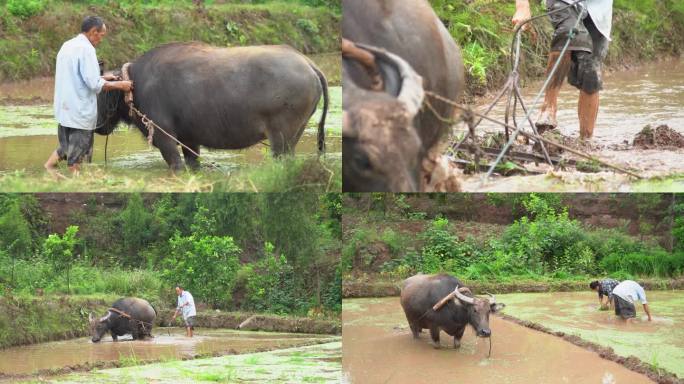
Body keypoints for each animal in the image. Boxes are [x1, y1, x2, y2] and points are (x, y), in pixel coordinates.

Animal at [96, 41, 328, 170]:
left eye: (99, 94)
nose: (97, 126)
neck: (135, 84)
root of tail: (308, 63)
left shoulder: (164, 136)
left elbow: (176, 163)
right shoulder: (189, 139)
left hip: (281, 136)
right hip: (296, 133)